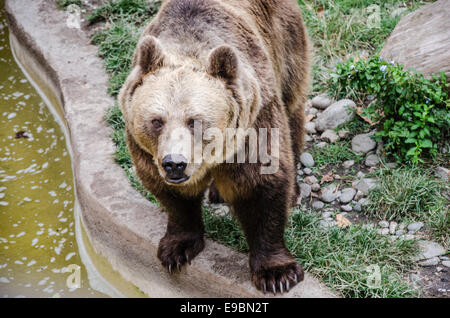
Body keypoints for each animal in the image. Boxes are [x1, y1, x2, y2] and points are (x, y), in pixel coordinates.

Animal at [118, 0, 312, 294]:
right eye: (156, 121)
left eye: (195, 121)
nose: (174, 164)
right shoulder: (146, 151)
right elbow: (172, 196)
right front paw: (177, 249)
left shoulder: (253, 125)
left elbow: (261, 185)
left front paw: (277, 273)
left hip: (286, 41)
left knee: (292, 108)